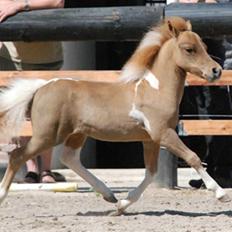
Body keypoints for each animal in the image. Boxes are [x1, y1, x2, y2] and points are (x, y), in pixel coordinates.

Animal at [0, 17, 228, 215]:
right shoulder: (164, 134)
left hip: (76, 134)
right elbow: (193, 157)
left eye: (205, 47)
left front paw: (122, 205)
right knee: (17, 155)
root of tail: (42, 86)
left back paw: (109, 195)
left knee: (69, 158)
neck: (156, 90)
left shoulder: (151, 140)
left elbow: (151, 172)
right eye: (189, 49)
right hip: (47, 136)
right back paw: (2, 195)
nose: (216, 71)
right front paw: (220, 194)